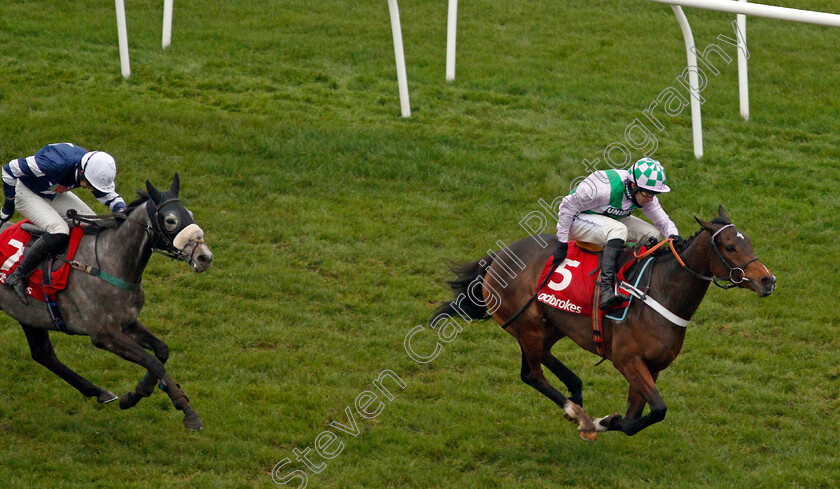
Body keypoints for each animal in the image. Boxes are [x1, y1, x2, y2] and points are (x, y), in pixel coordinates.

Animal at [0, 173, 213, 428]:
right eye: (171, 220)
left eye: (189, 213)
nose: (204, 257)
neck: (110, 263)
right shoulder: (104, 334)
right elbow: (152, 361)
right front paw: (186, 410)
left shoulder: (127, 322)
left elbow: (161, 351)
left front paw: (137, 393)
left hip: (29, 314)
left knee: (43, 354)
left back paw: (99, 392)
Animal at [436, 205, 776, 438]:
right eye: (730, 246)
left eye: (749, 242)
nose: (767, 280)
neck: (661, 290)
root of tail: (497, 257)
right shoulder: (627, 360)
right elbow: (657, 410)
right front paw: (598, 422)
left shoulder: (652, 366)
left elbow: (637, 417)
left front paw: (605, 421)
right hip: (529, 325)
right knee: (532, 374)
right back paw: (575, 410)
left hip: (551, 324)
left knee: (540, 359)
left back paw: (575, 393)